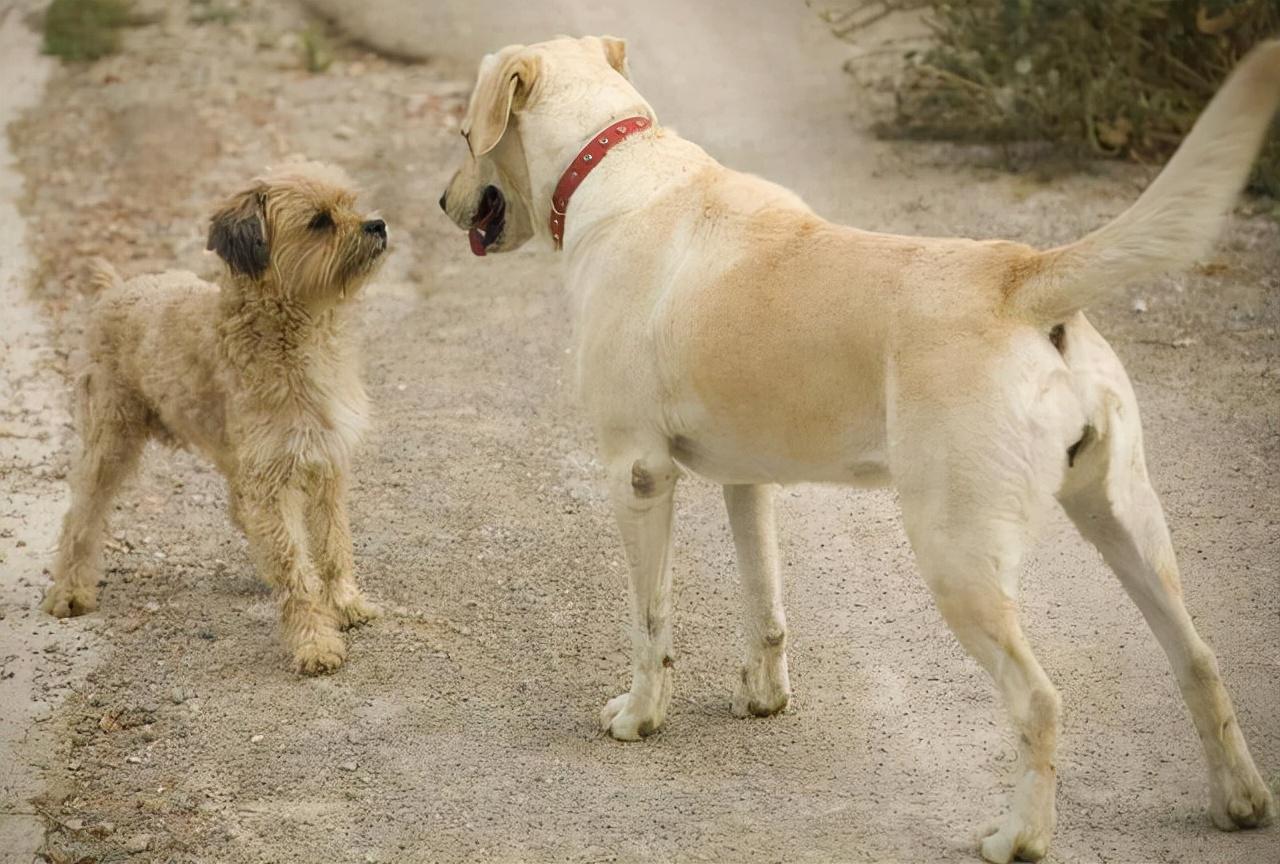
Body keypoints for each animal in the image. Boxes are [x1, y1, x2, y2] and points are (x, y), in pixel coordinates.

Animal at [42, 162, 386, 675]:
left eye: (350, 203)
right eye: (320, 221)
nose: (377, 225)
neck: (293, 336)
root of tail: (114, 290)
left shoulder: (324, 467)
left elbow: (332, 547)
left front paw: (345, 605)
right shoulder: (273, 477)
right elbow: (297, 569)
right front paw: (314, 642)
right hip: (109, 443)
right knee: (81, 517)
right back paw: (69, 591)